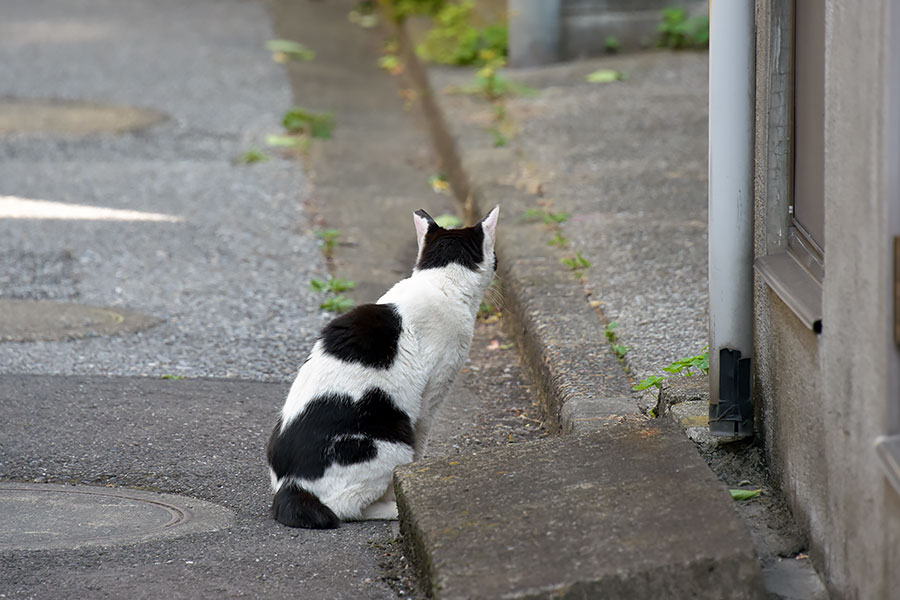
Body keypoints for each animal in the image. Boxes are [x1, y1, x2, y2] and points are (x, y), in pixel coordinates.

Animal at [264, 206, 502, 528]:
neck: (440, 282)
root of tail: (292, 486)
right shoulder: (432, 394)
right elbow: (421, 440)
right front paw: (408, 484)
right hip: (391, 440)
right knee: (345, 508)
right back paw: (392, 509)